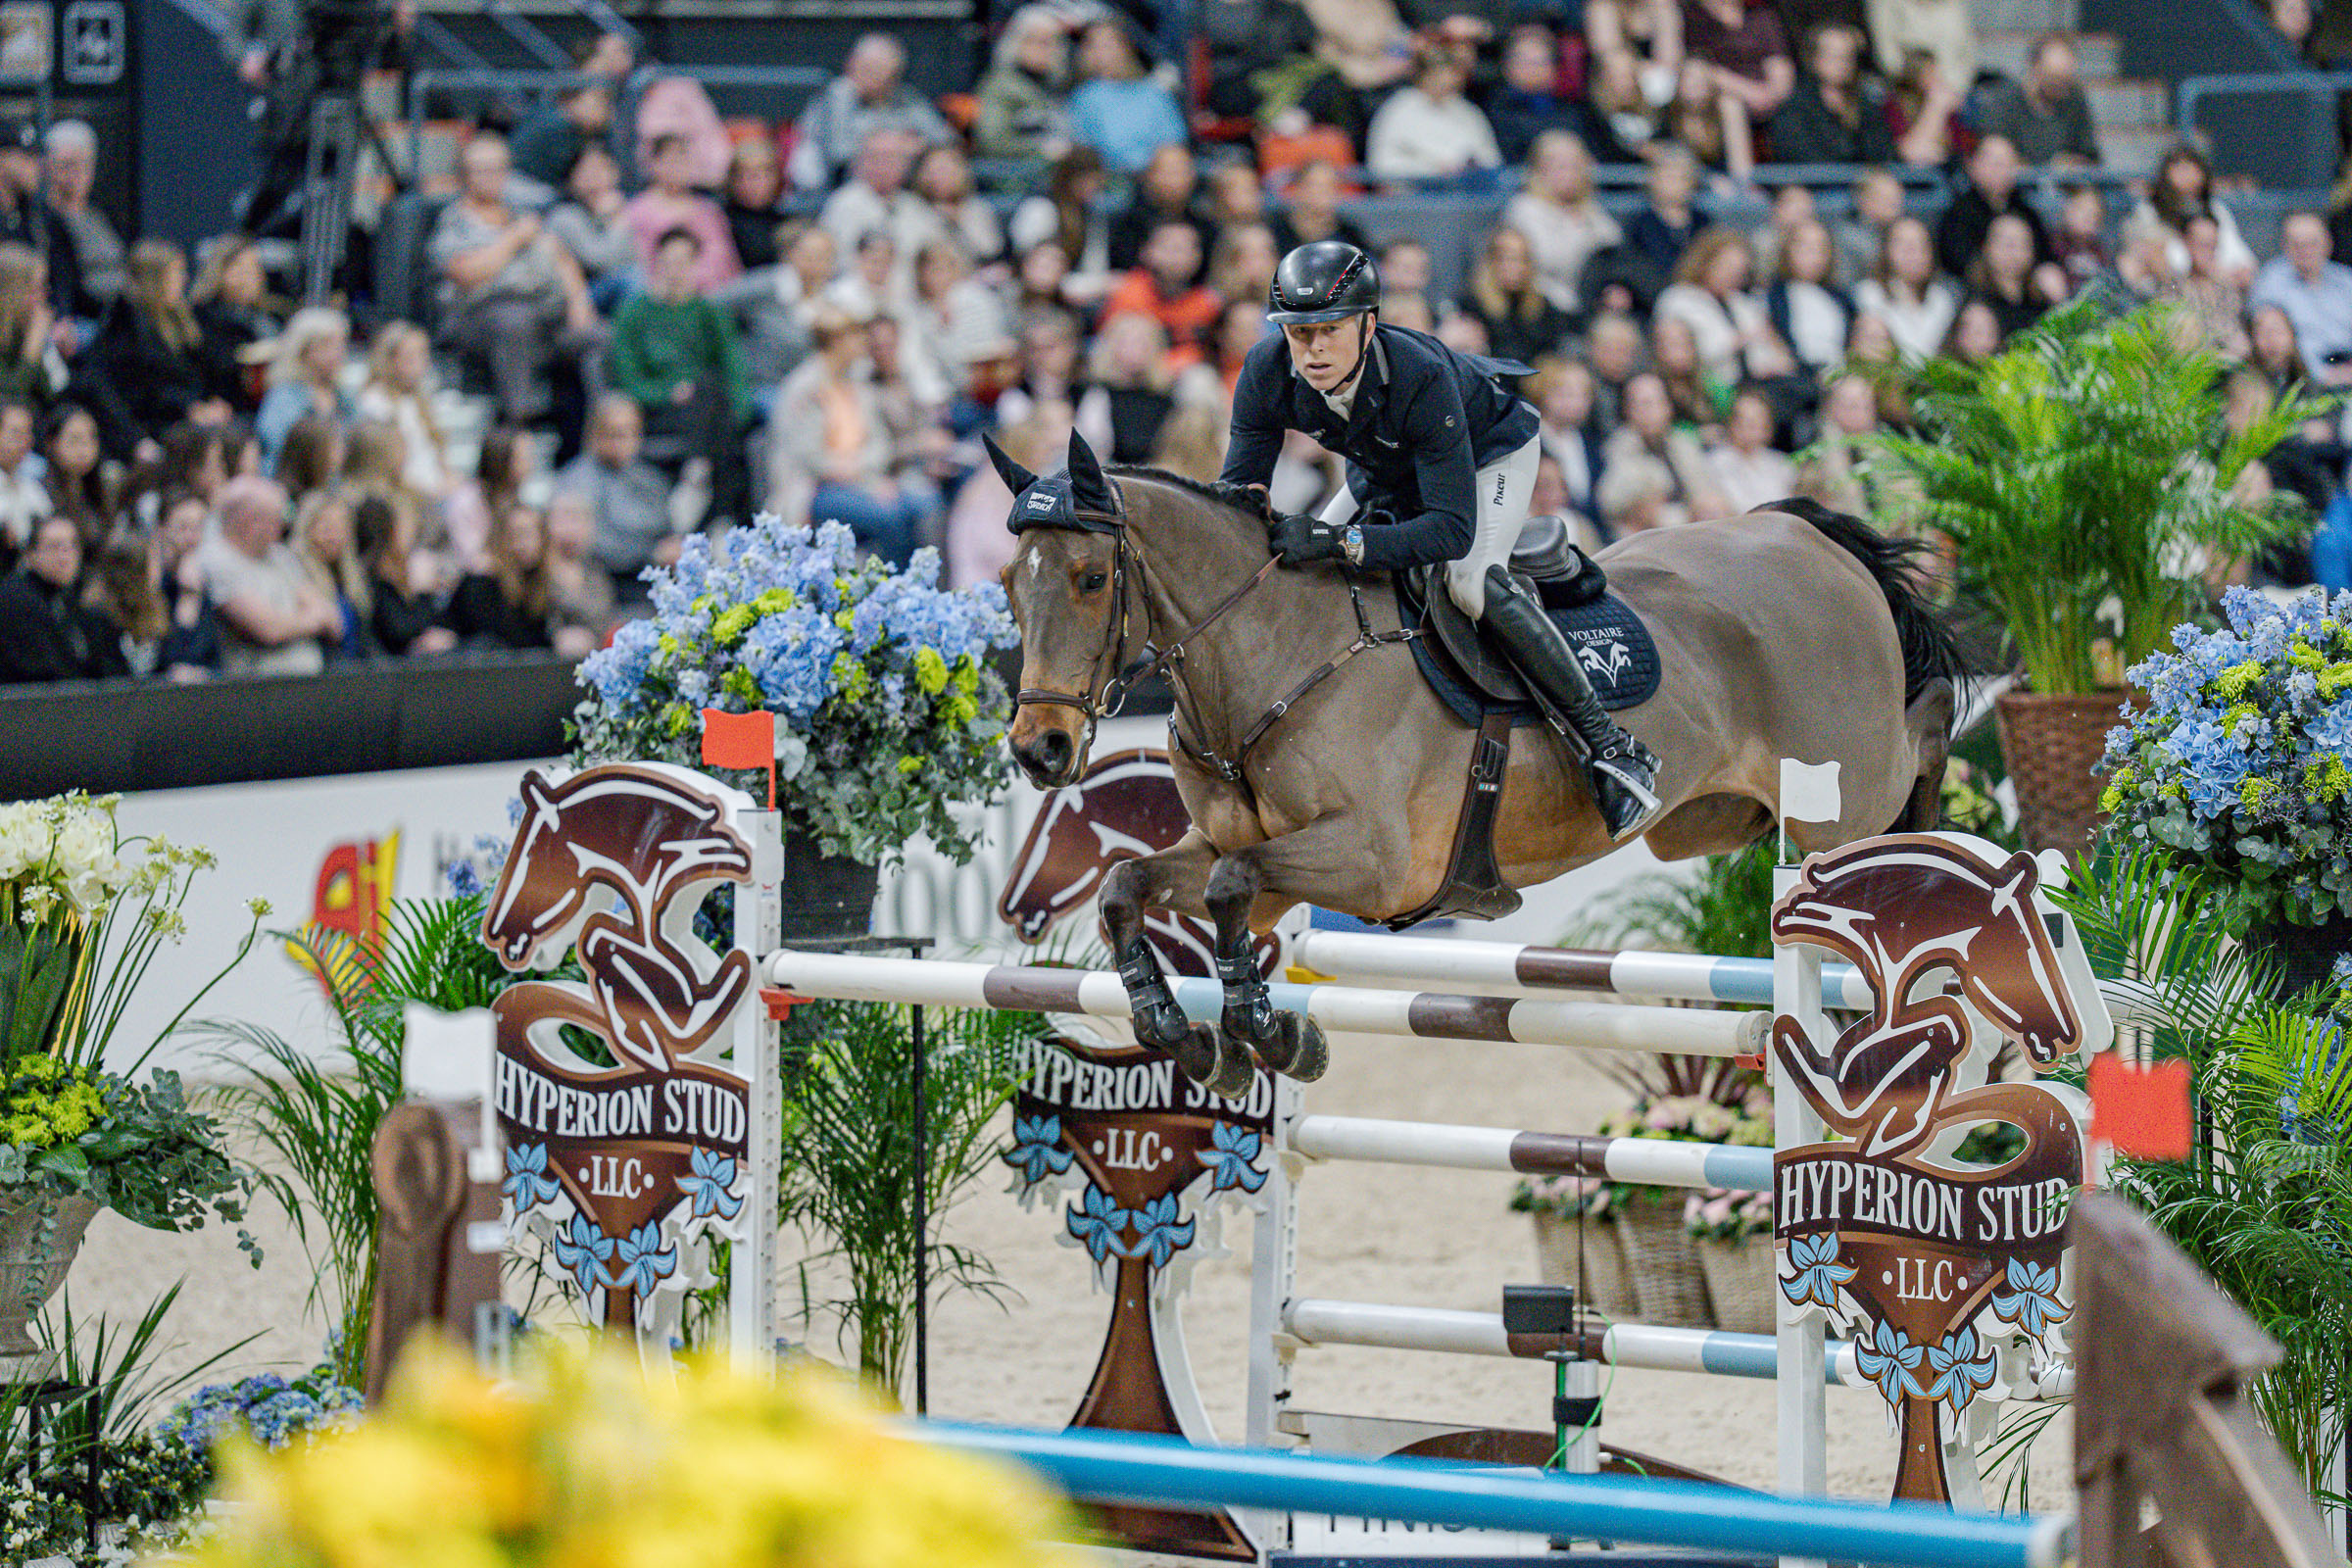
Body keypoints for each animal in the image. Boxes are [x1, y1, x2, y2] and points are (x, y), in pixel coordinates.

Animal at [993, 430, 1965, 1098]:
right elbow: (1131, 886)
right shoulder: (1243, 860)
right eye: (1007, 583)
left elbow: (1231, 888)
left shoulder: (1375, 864)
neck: (1269, 656)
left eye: (1089, 577)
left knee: (1925, 728)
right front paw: (1189, 1035)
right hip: (1718, 822)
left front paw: (1269, 1036)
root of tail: (1803, 538)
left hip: (1842, 791)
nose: (1040, 748)